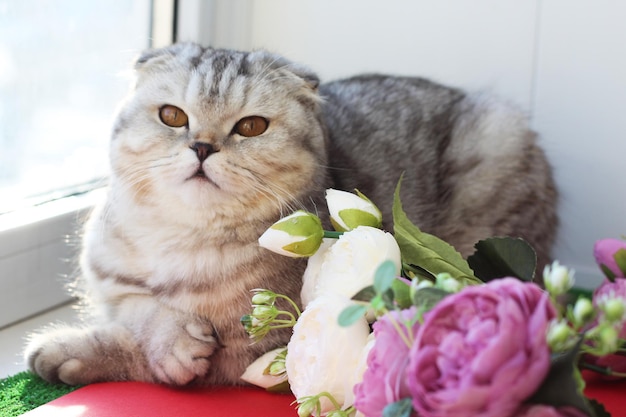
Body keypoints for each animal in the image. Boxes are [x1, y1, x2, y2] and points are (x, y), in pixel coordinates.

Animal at [23, 40, 556, 386]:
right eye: (171, 116)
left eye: (251, 126)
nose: (202, 147)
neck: (181, 242)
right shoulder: (108, 279)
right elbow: (137, 308)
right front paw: (163, 334)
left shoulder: (253, 347)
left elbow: (141, 350)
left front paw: (68, 352)